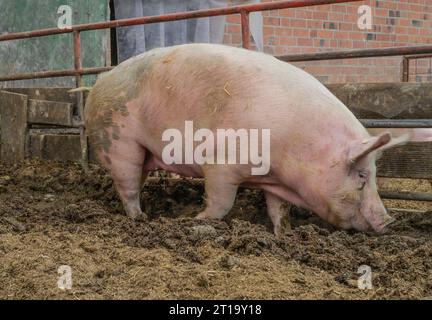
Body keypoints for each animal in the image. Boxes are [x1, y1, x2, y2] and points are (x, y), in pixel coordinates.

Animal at [84, 43, 428, 235]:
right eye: (361, 176)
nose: (389, 222)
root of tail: (97, 84)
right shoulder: (221, 163)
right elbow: (221, 203)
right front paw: (194, 219)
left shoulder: (273, 180)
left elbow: (278, 208)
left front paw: (281, 234)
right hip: (119, 141)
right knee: (127, 185)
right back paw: (141, 218)